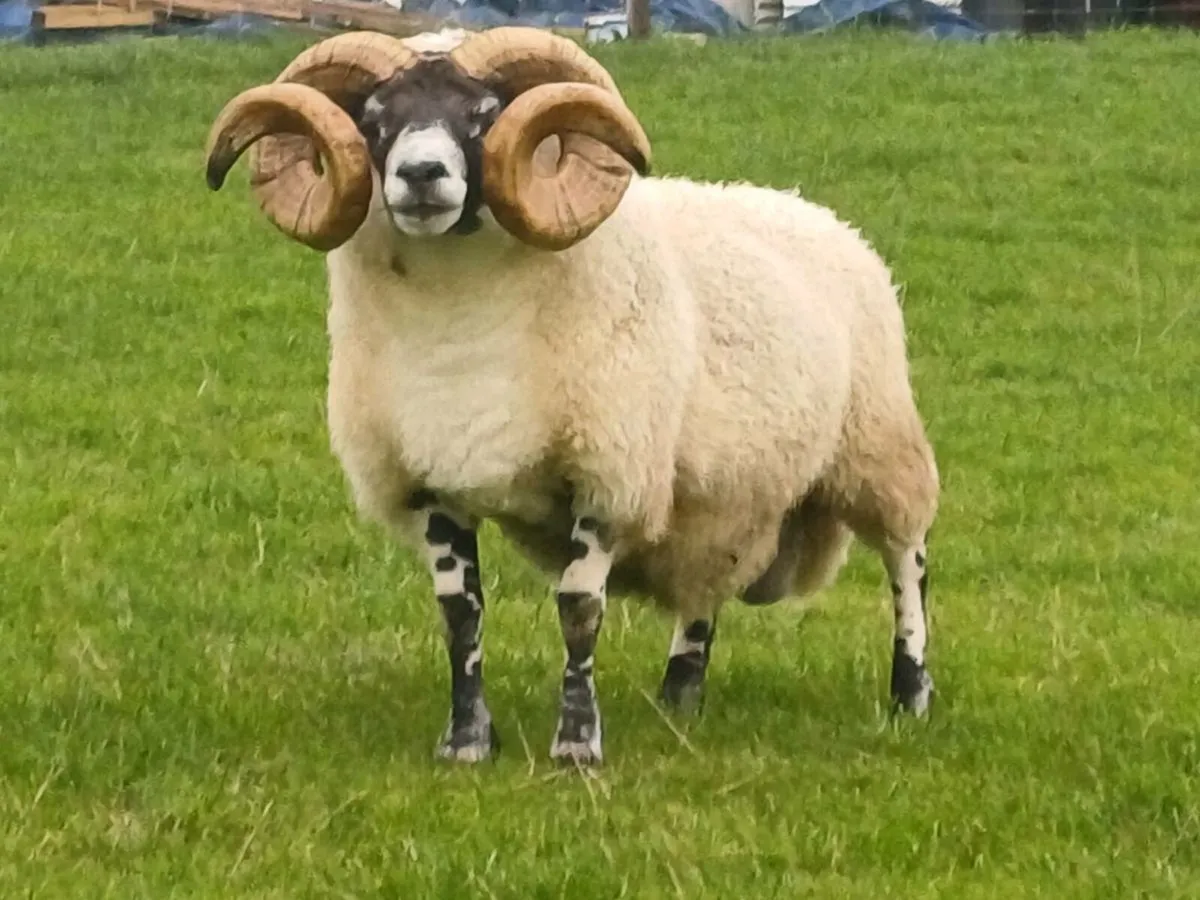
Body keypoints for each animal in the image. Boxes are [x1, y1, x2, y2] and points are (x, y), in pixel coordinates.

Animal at [203, 26, 941, 766]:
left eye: (484, 114)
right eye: (375, 119)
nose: (420, 175)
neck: (460, 329)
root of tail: (809, 210)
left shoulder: (608, 476)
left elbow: (579, 609)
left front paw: (577, 745)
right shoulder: (428, 479)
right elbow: (460, 612)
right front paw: (466, 743)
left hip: (877, 446)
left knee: (907, 563)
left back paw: (911, 694)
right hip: (723, 494)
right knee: (705, 586)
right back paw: (679, 697)